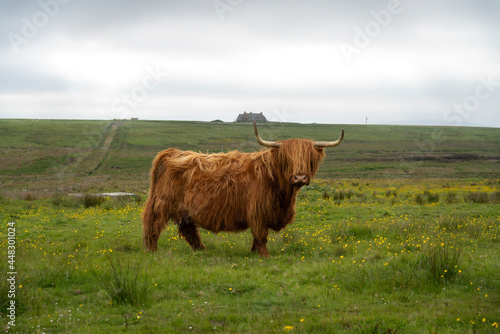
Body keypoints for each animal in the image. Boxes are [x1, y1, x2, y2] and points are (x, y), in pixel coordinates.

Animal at [143, 121, 342, 258]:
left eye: (308, 157)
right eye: (286, 158)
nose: (299, 177)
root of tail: (172, 152)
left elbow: (258, 236)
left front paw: (254, 252)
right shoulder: (258, 211)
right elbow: (261, 235)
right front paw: (264, 255)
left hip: (184, 210)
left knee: (188, 229)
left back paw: (202, 250)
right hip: (162, 203)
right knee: (153, 224)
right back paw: (152, 250)